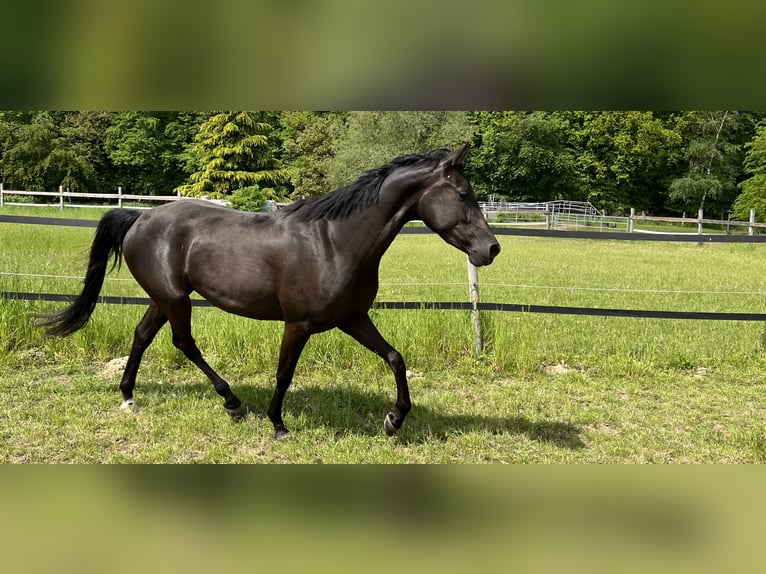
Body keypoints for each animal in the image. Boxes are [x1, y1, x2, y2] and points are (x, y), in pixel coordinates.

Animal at [39, 145, 500, 440]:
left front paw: (394, 420)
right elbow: (284, 373)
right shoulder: (299, 323)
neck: (335, 242)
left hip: (163, 298)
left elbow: (395, 358)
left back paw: (129, 397)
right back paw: (232, 402)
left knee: (142, 336)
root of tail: (139, 216)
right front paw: (278, 425)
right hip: (175, 300)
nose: (491, 249)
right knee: (183, 342)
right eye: (464, 194)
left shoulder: (352, 319)